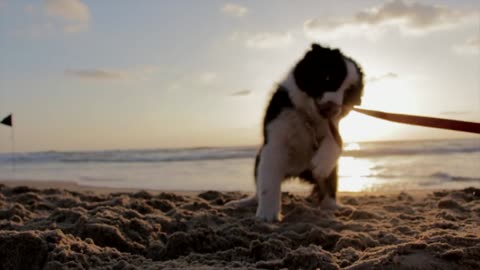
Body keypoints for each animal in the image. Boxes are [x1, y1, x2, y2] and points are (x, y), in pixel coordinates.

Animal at [227, 43, 362, 221]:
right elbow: (268, 182)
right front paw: (267, 215)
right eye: (327, 78)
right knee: (259, 186)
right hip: (259, 159)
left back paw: (336, 207)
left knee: (328, 189)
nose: (332, 108)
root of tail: (299, 172)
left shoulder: (332, 127)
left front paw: (321, 164)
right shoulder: (274, 140)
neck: (307, 116)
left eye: (348, 94)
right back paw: (243, 202)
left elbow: (336, 143)